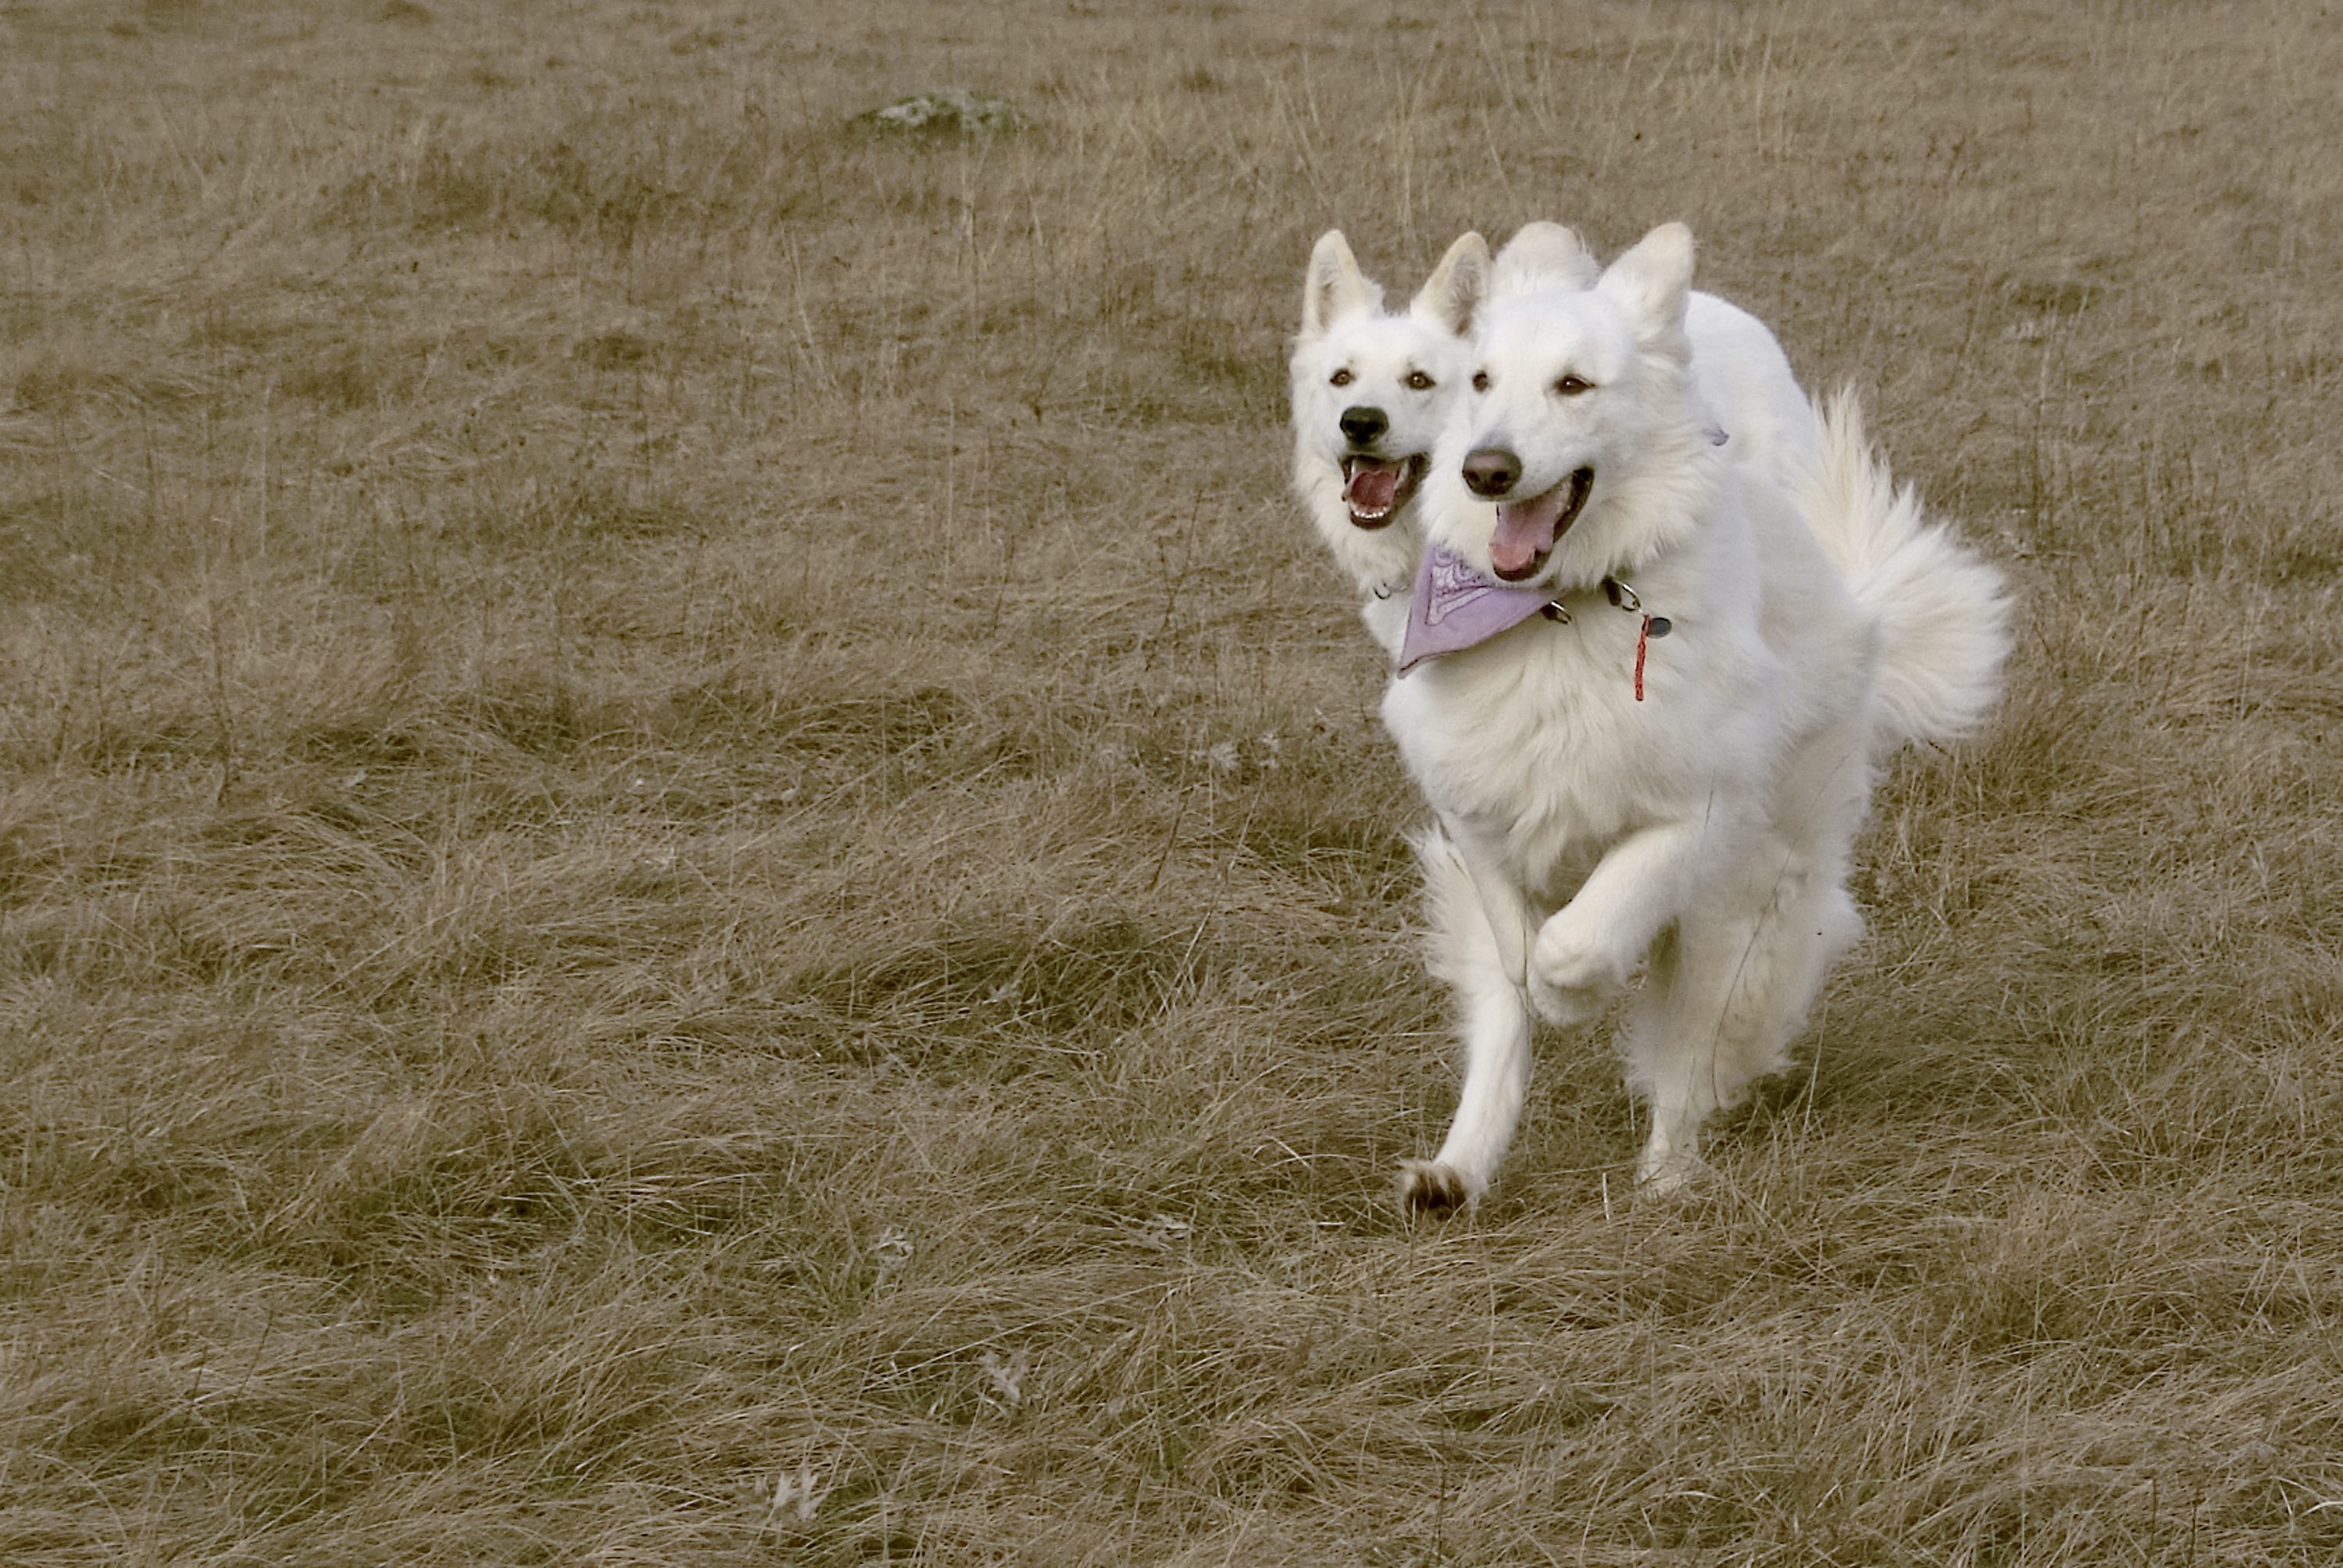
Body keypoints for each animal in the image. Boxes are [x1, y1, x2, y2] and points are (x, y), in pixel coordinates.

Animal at [1368, 220, 2015, 1209]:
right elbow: (1517, 954)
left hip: (1743, 913)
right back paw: (1457, 1171)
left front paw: (1577, 989)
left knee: (1686, 1063)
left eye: (1573, 384)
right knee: (1502, 1027)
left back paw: (1666, 1182)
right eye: (1478, 381)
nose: (1486, 470)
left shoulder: (1696, 818)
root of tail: (1858, 607)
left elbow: (1576, 941)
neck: (1561, 611)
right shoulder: (1474, 811)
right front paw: (1539, 997)